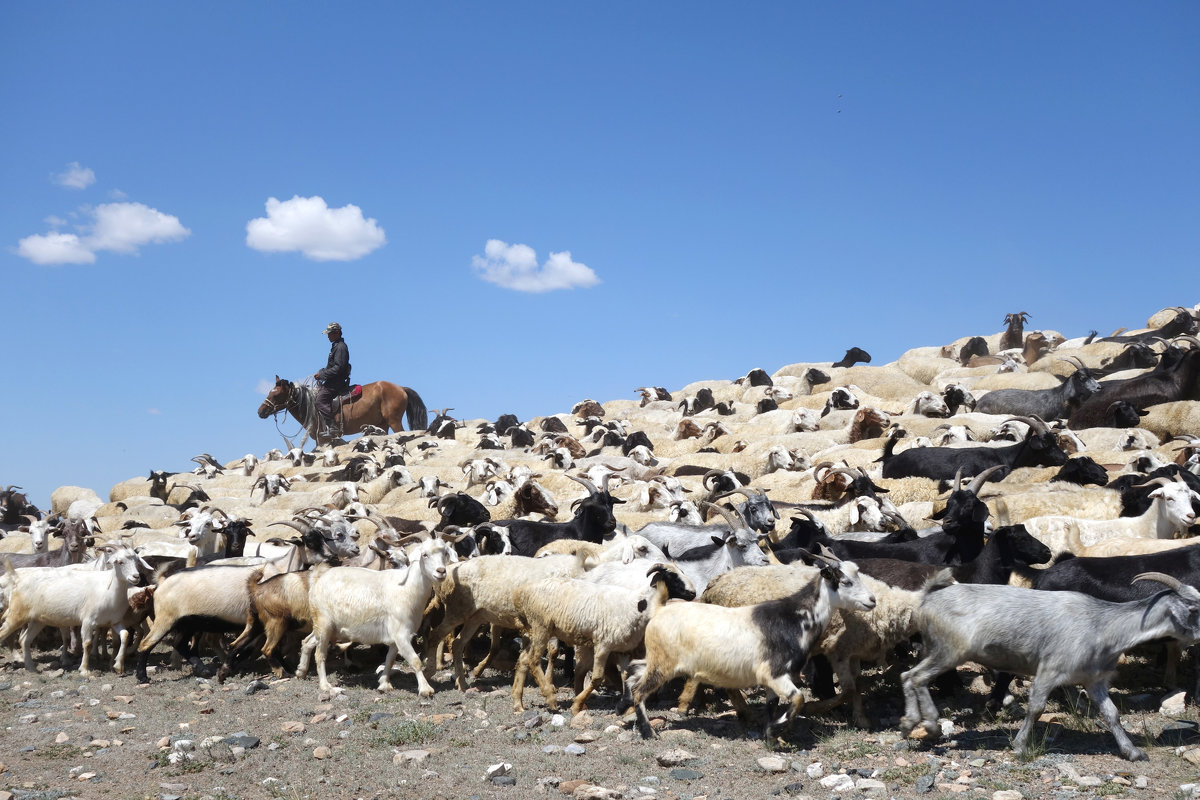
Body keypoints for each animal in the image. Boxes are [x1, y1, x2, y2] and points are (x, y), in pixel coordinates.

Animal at [255, 374, 429, 443]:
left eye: (276, 395)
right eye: (269, 392)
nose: (260, 411)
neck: (310, 405)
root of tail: (401, 388)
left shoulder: (322, 439)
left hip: (394, 421)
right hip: (382, 425)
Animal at [624, 551, 878, 738]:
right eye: (845, 581)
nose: (872, 600)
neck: (795, 617)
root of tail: (660, 609)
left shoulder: (774, 679)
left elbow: (772, 705)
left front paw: (771, 733)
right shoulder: (774, 672)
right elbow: (799, 698)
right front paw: (779, 727)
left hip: (658, 660)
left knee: (633, 670)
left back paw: (623, 706)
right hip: (663, 665)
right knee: (639, 690)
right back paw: (648, 732)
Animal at [902, 573, 1200, 762]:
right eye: (1194, 609)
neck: (1101, 624)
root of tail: (928, 599)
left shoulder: (1094, 679)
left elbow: (1112, 714)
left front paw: (1133, 752)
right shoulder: (1049, 670)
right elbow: (1036, 708)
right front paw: (1020, 746)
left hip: (940, 651)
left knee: (909, 676)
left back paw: (913, 723)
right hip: (949, 651)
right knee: (915, 677)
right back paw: (926, 724)